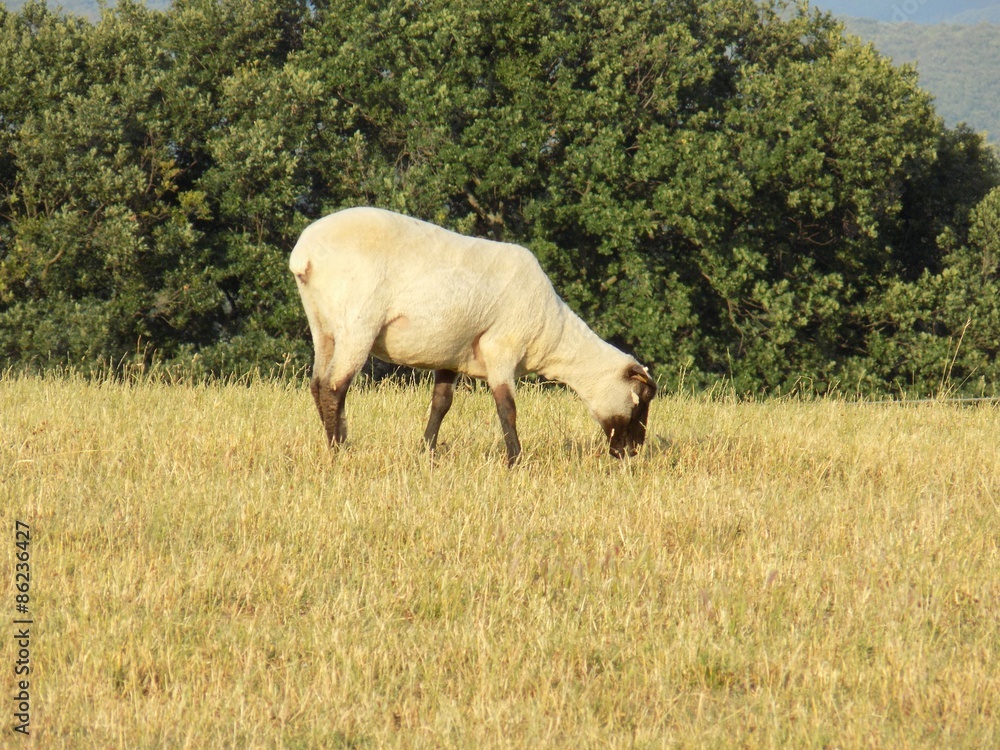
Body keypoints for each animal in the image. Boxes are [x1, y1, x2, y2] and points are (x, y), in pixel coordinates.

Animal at [289, 206, 656, 465]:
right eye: (641, 399)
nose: (632, 452)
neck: (551, 333)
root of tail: (304, 255)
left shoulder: (450, 353)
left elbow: (441, 404)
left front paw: (427, 452)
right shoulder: (501, 347)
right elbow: (507, 408)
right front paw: (516, 461)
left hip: (323, 326)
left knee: (318, 385)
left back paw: (334, 443)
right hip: (357, 322)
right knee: (335, 387)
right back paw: (339, 452)